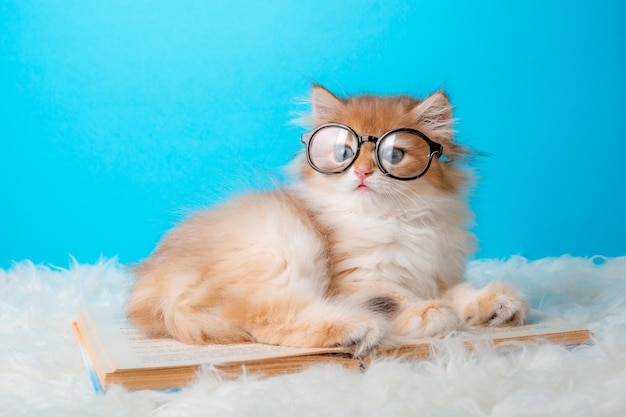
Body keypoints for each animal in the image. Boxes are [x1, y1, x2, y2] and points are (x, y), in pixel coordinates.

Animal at [125, 84, 528, 354]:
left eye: (394, 155)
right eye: (344, 153)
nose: (363, 173)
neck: (393, 220)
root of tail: (152, 290)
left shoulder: (436, 270)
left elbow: (457, 292)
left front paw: (496, 305)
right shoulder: (354, 279)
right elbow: (398, 296)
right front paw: (432, 313)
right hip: (283, 246)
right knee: (263, 316)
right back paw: (357, 329)